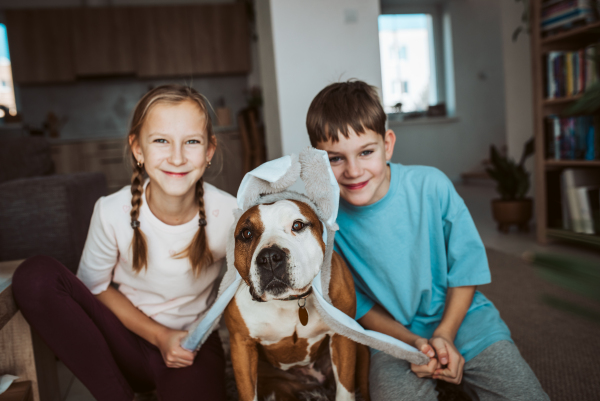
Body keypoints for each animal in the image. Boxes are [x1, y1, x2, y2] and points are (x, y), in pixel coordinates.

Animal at [223, 198, 368, 398]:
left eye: (298, 225)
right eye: (247, 233)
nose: (269, 257)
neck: (289, 302)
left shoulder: (343, 338)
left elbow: (345, 391)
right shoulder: (241, 346)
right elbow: (248, 393)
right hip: (278, 386)